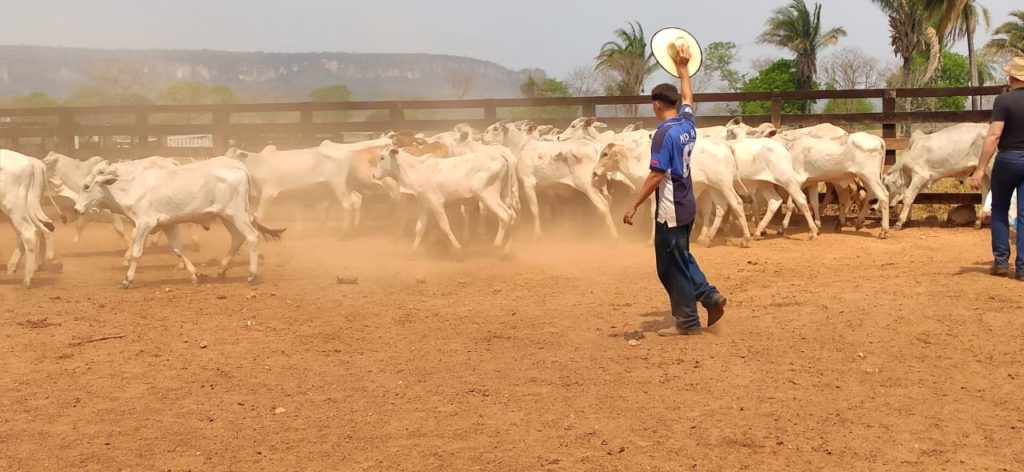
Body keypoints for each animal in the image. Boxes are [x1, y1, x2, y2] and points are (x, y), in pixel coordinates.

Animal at [74, 157, 284, 286]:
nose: (76, 209)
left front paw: (127, 280)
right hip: (228, 217)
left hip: (236, 214)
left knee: (252, 237)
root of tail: (240, 168)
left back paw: (252, 275)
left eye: (86, 186)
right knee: (237, 239)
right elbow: (177, 249)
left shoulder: (144, 224)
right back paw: (221, 269)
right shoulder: (167, 224)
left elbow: (136, 253)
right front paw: (194, 275)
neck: (132, 184)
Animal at [370, 144, 520, 251]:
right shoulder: (423, 205)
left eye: (382, 157)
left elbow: (444, 225)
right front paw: (413, 251)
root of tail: (501, 155)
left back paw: (497, 245)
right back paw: (507, 248)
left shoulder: (436, 203)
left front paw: (457, 248)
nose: (374, 175)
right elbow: (420, 228)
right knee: (512, 217)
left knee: (505, 215)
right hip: (504, 195)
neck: (416, 169)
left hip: (488, 195)